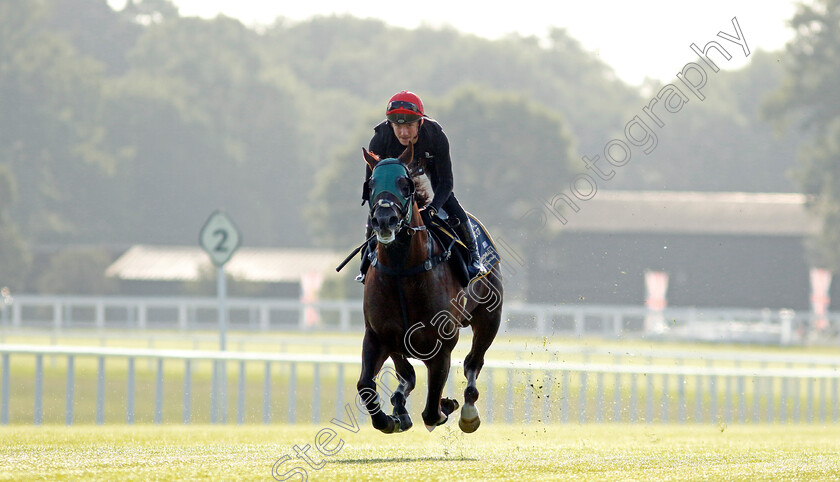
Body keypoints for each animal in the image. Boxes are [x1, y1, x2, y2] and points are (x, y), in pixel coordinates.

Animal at [356, 143, 502, 434]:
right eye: (372, 183)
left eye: (404, 184)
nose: (385, 220)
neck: (402, 272)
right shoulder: (378, 336)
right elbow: (366, 384)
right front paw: (389, 419)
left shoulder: (441, 346)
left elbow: (432, 411)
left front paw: (447, 405)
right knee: (408, 375)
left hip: (490, 318)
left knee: (473, 362)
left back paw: (468, 411)